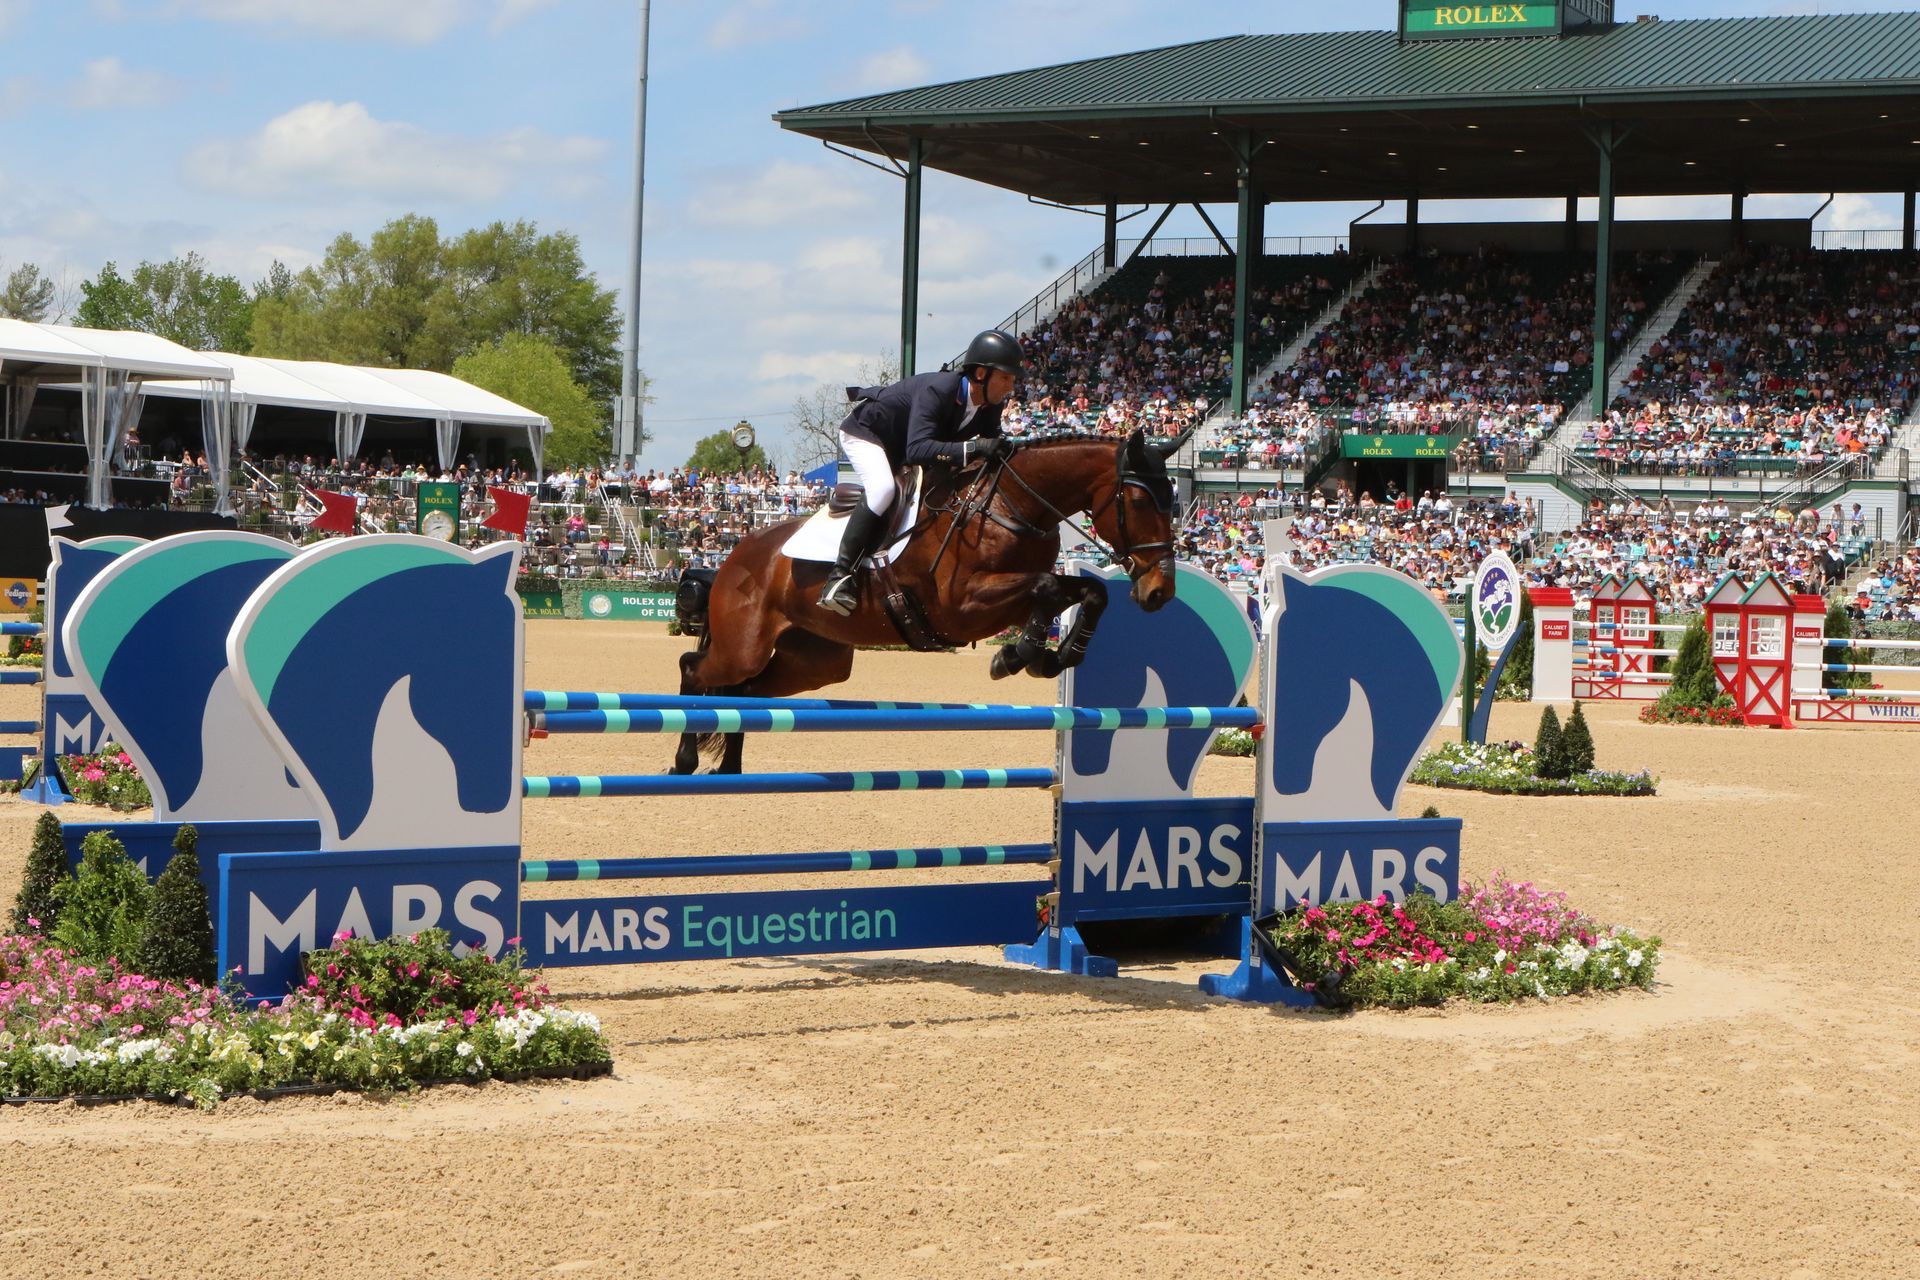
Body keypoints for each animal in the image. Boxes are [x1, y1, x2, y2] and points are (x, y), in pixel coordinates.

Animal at [672, 426, 1182, 775]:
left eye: (1174, 503)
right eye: (1140, 502)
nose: (1160, 591)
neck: (1010, 505)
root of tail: (736, 554)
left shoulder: (1004, 600)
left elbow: (1086, 591)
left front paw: (1053, 655)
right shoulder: (963, 607)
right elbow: (1048, 588)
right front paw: (1020, 656)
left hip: (814, 663)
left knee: (744, 694)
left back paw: (730, 769)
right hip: (744, 646)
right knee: (694, 670)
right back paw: (685, 760)